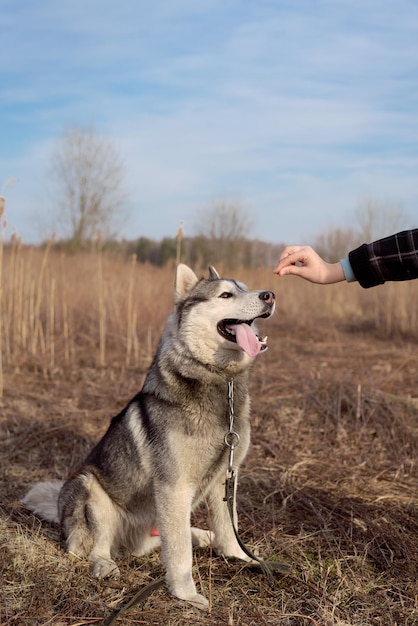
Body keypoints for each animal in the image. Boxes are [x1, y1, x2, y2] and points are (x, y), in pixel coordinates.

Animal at [24, 262, 276, 604]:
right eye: (226, 294)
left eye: (246, 288)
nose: (270, 295)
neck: (222, 384)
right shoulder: (174, 486)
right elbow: (179, 553)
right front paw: (185, 594)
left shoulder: (226, 476)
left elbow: (228, 528)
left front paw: (242, 558)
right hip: (90, 490)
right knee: (93, 549)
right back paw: (104, 565)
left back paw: (202, 536)